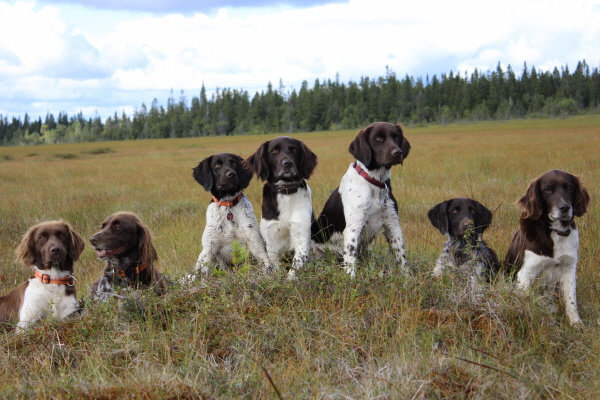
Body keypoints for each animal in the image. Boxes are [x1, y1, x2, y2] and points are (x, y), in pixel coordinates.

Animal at [312, 122, 410, 276]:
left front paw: (407, 278)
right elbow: (350, 262)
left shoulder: (392, 224)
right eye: (378, 138)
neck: (374, 183)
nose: (397, 152)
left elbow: (401, 257)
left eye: (396, 137)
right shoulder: (353, 228)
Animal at [506, 169, 592, 324]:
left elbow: (571, 302)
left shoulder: (569, 269)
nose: (564, 207)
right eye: (547, 190)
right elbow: (529, 302)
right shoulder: (525, 274)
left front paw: (576, 324)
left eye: (569, 187)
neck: (555, 232)